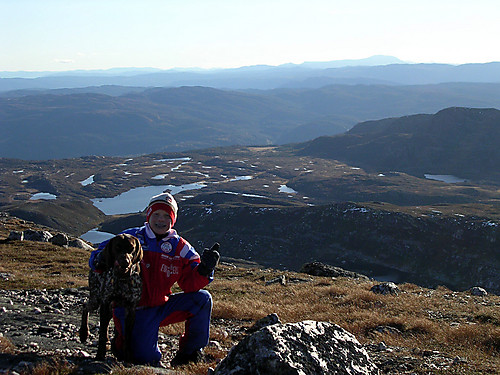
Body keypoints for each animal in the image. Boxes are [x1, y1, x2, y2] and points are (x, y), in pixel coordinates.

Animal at [78, 234, 144, 362]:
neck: (123, 278)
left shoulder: (131, 308)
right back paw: (84, 332)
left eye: (131, 248)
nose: (125, 262)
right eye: (117, 247)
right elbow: (102, 333)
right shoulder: (105, 302)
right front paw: (100, 355)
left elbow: (128, 336)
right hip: (96, 298)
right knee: (85, 306)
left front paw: (128, 356)